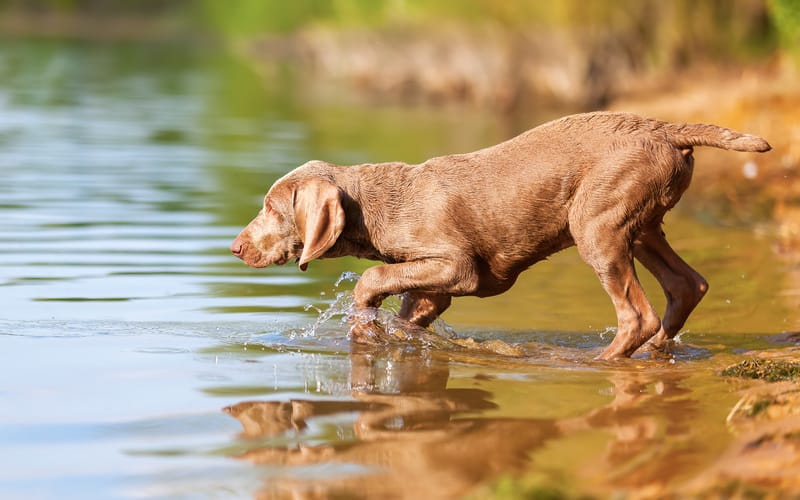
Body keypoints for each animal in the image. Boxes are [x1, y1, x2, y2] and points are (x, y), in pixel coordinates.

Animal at [234, 111, 772, 358]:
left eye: (271, 208)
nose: (235, 247)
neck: (378, 203)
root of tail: (665, 128)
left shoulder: (457, 266)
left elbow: (372, 279)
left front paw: (364, 321)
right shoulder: (436, 286)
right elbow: (411, 309)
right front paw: (386, 336)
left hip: (596, 225)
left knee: (637, 314)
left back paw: (601, 360)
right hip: (639, 224)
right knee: (687, 285)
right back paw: (657, 351)